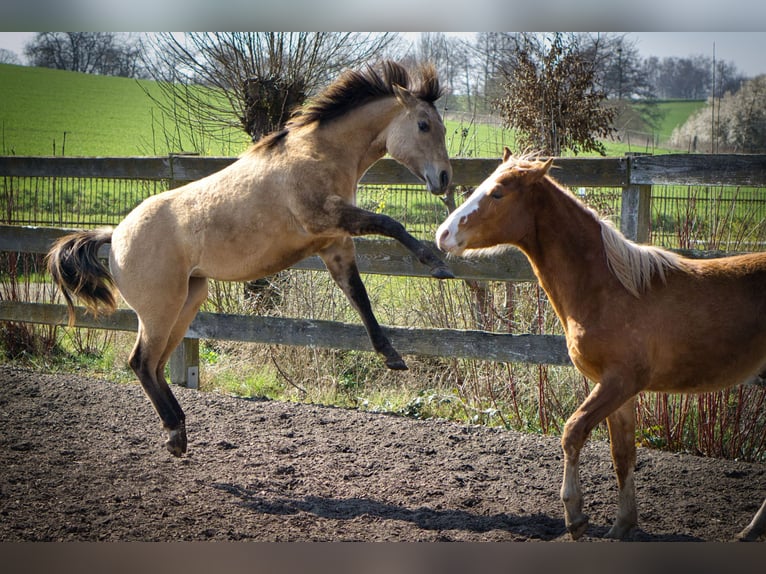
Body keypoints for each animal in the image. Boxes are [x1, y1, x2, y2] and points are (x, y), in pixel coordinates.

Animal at [47, 61, 454, 457]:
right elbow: (390, 223)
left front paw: (392, 356)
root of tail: (115, 236)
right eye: (423, 125)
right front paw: (437, 265)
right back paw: (175, 432)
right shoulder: (329, 219)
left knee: (157, 364)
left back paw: (179, 430)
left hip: (188, 300)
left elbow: (360, 297)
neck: (320, 153)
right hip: (161, 308)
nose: (444, 178)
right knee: (142, 362)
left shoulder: (335, 244)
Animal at [435, 147, 766, 541]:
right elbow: (622, 455)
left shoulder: (619, 382)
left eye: (498, 193)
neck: (610, 288)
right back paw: (751, 530)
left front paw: (576, 516)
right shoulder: (618, 391)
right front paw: (622, 524)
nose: (443, 234)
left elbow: (572, 431)